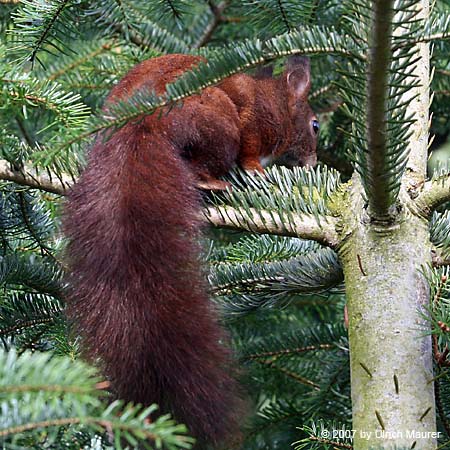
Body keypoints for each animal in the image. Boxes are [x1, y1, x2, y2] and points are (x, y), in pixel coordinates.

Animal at [63, 52, 318, 446]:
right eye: (316, 126)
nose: (314, 163)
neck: (274, 97)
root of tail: (141, 120)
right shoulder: (256, 126)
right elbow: (251, 154)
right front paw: (258, 172)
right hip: (220, 125)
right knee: (206, 164)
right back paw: (215, 182)